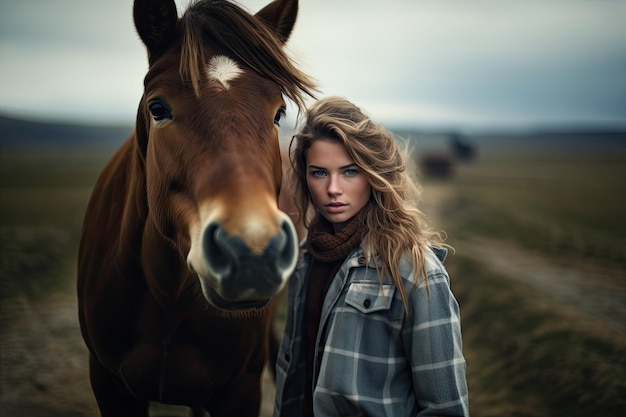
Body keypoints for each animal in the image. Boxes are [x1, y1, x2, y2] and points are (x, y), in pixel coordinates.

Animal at [75, 0, 314, 412]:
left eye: (279, 112)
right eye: (158, 108)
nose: (252, 253)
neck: (164, 293)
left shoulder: (240, 389)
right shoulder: (108, 382)